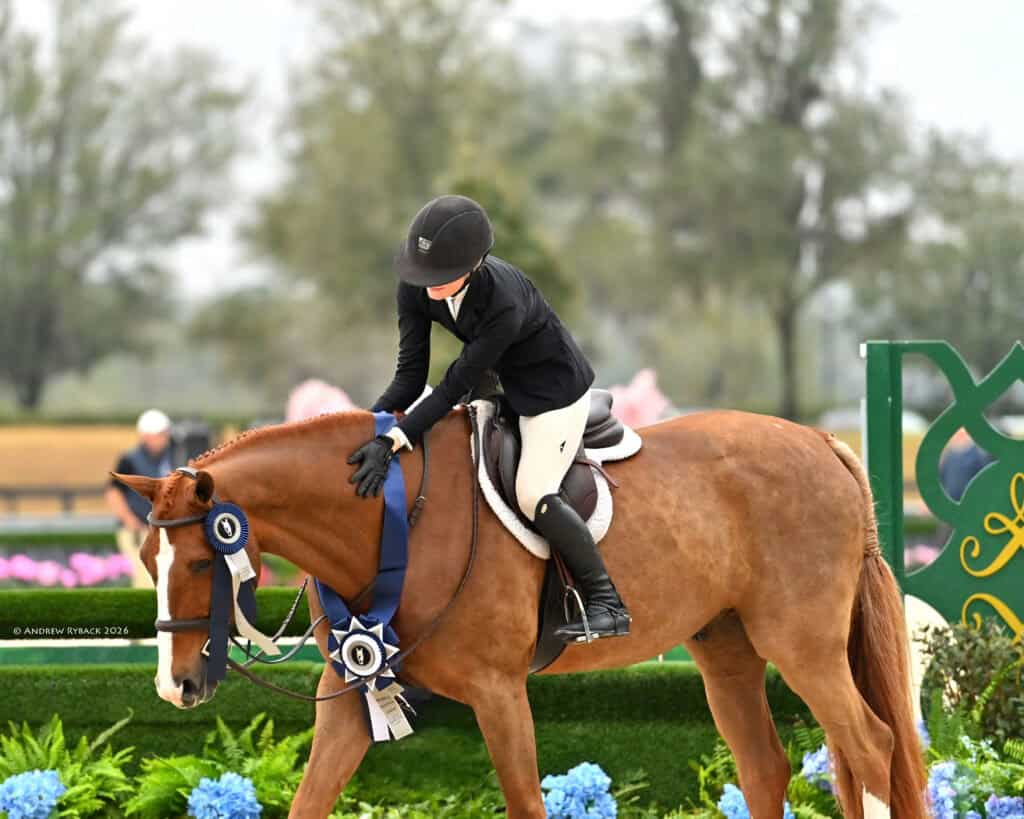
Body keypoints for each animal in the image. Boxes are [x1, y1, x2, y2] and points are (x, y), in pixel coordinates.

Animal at [116, 405, 927, 819]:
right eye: (147, 561)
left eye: (200, 563)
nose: (176, 688)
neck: (389, 522)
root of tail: (823, 441)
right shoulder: (352, 687)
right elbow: (310, 801)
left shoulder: (498, 691)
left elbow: (525, 801)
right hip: (725, 648)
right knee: (768, 767)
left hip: (803, 644)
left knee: (873, 746)